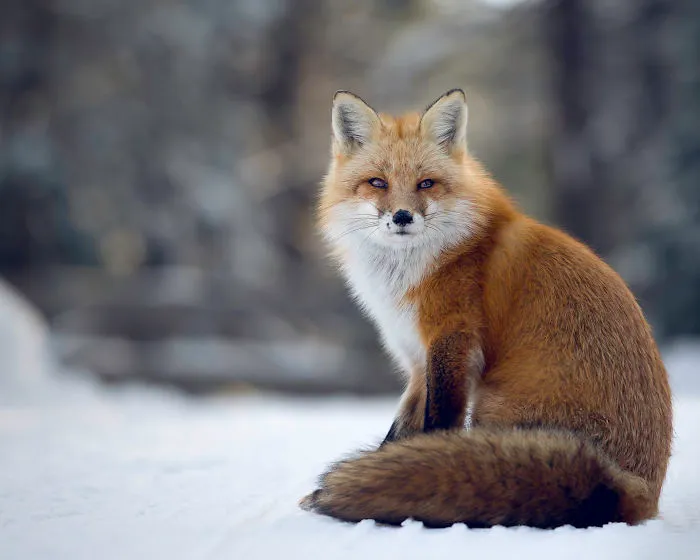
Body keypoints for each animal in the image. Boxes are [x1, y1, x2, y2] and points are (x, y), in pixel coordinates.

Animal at [300, 89, 673, 528]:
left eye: (426, 183)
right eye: (378, 182)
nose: (402, 216)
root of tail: (637, 492)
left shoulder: (453, 341)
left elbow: (437, 425)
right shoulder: (417, 360)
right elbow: (399, 432)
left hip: (492, 404)